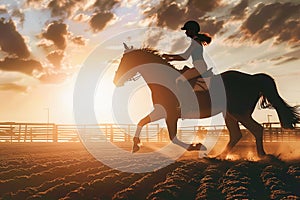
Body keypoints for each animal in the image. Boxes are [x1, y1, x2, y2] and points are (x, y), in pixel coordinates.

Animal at [113, 44, 300, 159]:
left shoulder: (170, 113)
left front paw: (196, 146)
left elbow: (172, 136)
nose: (115, 80)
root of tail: (252, 78)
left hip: (238, 112)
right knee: (237, 134)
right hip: (230, 114)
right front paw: (135, 146)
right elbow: (141, 121)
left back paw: (260, 156)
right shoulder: (161, 111)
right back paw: (220, 156)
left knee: (256, 129)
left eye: (125, 62)